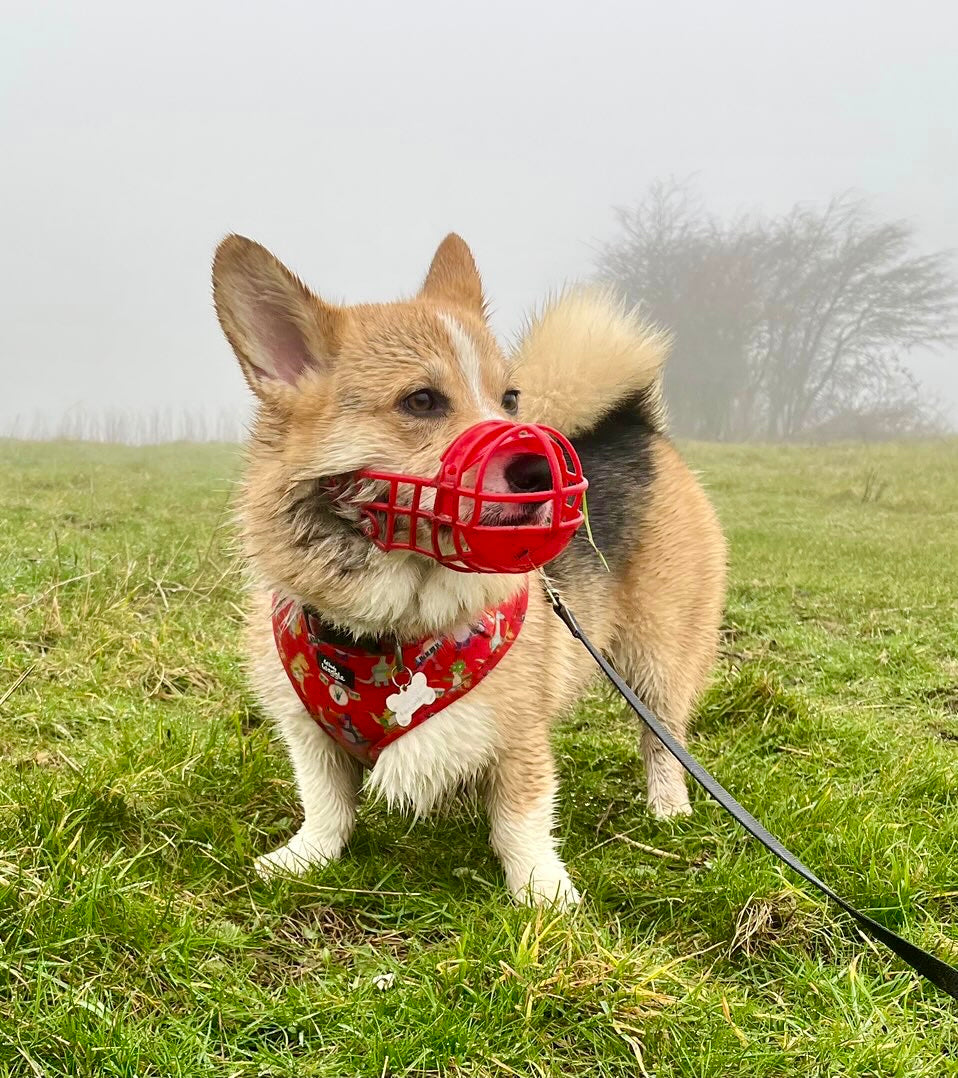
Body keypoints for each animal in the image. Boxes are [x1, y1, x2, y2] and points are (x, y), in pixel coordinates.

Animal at [211, 231, 724, 905]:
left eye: (510, 399)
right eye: (421, 400)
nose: (541, 468)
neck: (392, 624)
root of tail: (634, 422)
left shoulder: (521, 738)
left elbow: (522, 820)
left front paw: (541, 891)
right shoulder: (307, 732)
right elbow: (325, 802)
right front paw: (306, 857)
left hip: (658, 655)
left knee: (663, 737)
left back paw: (668, 808)